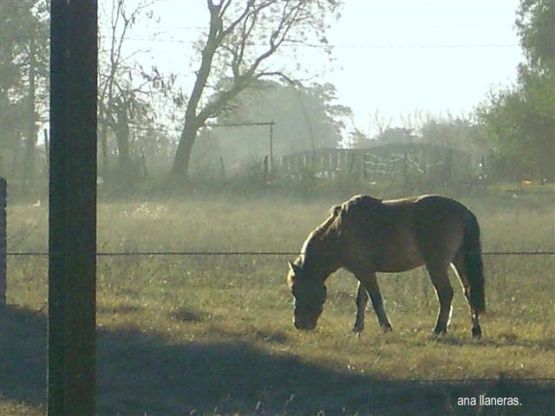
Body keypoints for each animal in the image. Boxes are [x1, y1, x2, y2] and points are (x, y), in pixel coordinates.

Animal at [286, 195, 486, 338]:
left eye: (296, 290)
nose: (299, 324)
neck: (340, 231)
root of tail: (464, 212)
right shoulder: (364, 271)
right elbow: (361, 300)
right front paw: (357, 328)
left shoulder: (365, 273)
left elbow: (376, 300)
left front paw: (386, 327)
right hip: (458, 261)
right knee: (469, 292)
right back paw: (475, 331)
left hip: (437, 265)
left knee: (446, 294)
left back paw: (439, 330)